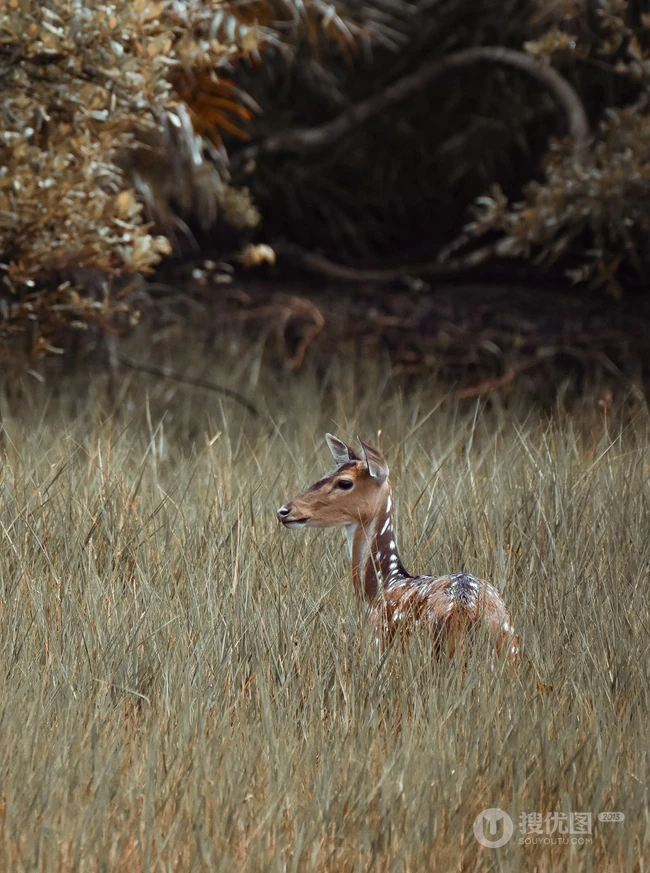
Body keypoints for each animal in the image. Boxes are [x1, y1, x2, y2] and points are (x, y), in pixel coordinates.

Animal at [277, 434, 519, 663]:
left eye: (344, 482)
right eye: (325, 473)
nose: (284, 510)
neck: (381, 588)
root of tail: (466, 609)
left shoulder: (378, 643)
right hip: (510, 650)